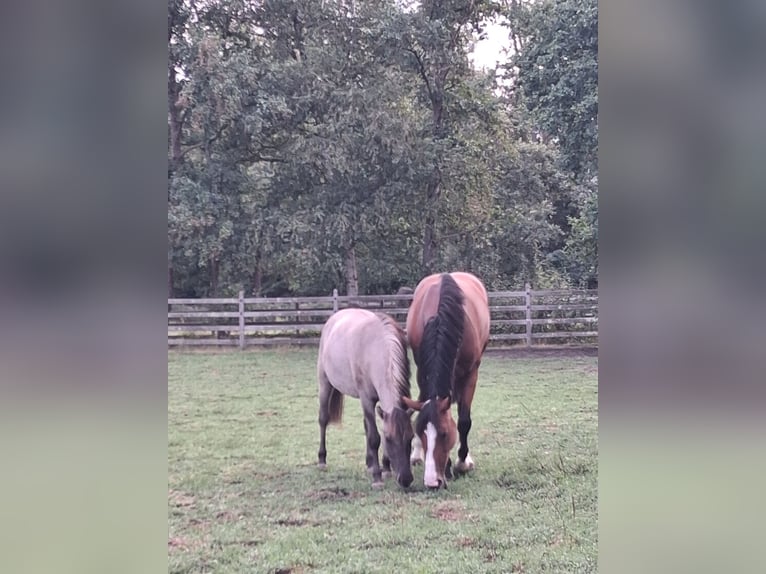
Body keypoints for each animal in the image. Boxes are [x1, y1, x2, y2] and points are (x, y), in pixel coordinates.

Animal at [316, 308, 415, 489]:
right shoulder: (367, 400)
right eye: (389, 439)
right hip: (325, 383)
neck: (377, 348)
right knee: (323, 419)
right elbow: (374, 438)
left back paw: (369, 463)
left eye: (411, 437)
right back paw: (322, 460)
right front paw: (377, 477)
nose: (405, 479)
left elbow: (375, 430)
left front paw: (385, 468)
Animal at [401, 272, 490, 489]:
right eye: (421, 432)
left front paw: (461, 463)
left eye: (444, 433)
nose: (432, 481)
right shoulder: (422, 371)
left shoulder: (471, 373)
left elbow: (464, 421)